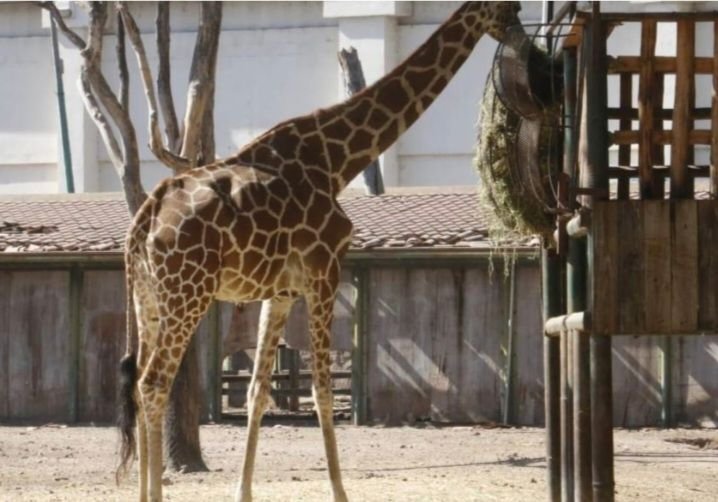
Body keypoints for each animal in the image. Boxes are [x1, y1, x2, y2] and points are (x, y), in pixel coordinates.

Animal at [116, 2, 523, 501]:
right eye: (510, 9)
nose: (523, 38)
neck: (336, 160)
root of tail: (145, 216)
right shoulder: (325, 269)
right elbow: (324, 391)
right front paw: (340, 492)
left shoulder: (282, 290)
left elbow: (257, 392)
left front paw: (244, 491)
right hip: (188, 293)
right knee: (154, 383)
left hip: (150, 298)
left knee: (139, 382)